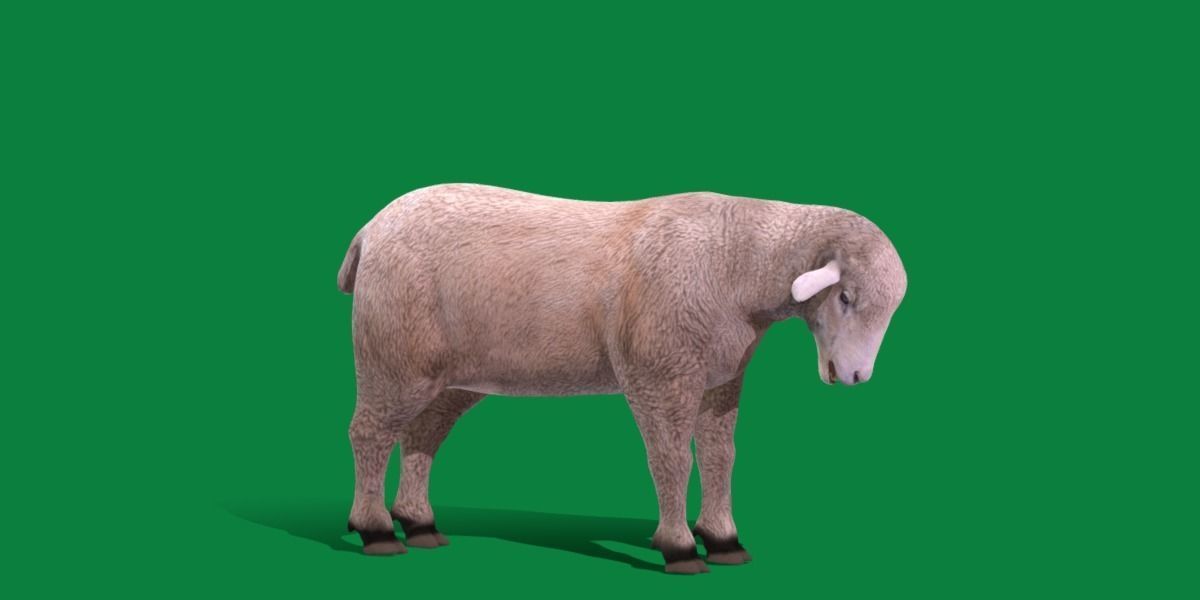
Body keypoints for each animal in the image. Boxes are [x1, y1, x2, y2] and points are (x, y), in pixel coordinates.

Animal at [337, 183, 907, 573]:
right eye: (846, 297)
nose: (855, 375)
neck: (737, 258)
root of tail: (370, 230)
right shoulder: (660, 374)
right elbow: (672, 460)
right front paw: (680, 548)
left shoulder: (720, 379)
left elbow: (721, 458)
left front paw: (724, 540)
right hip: (393, 355)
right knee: (368, 433)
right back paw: (376, 530)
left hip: (449, 376)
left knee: (421, 437)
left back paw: (419, 523)